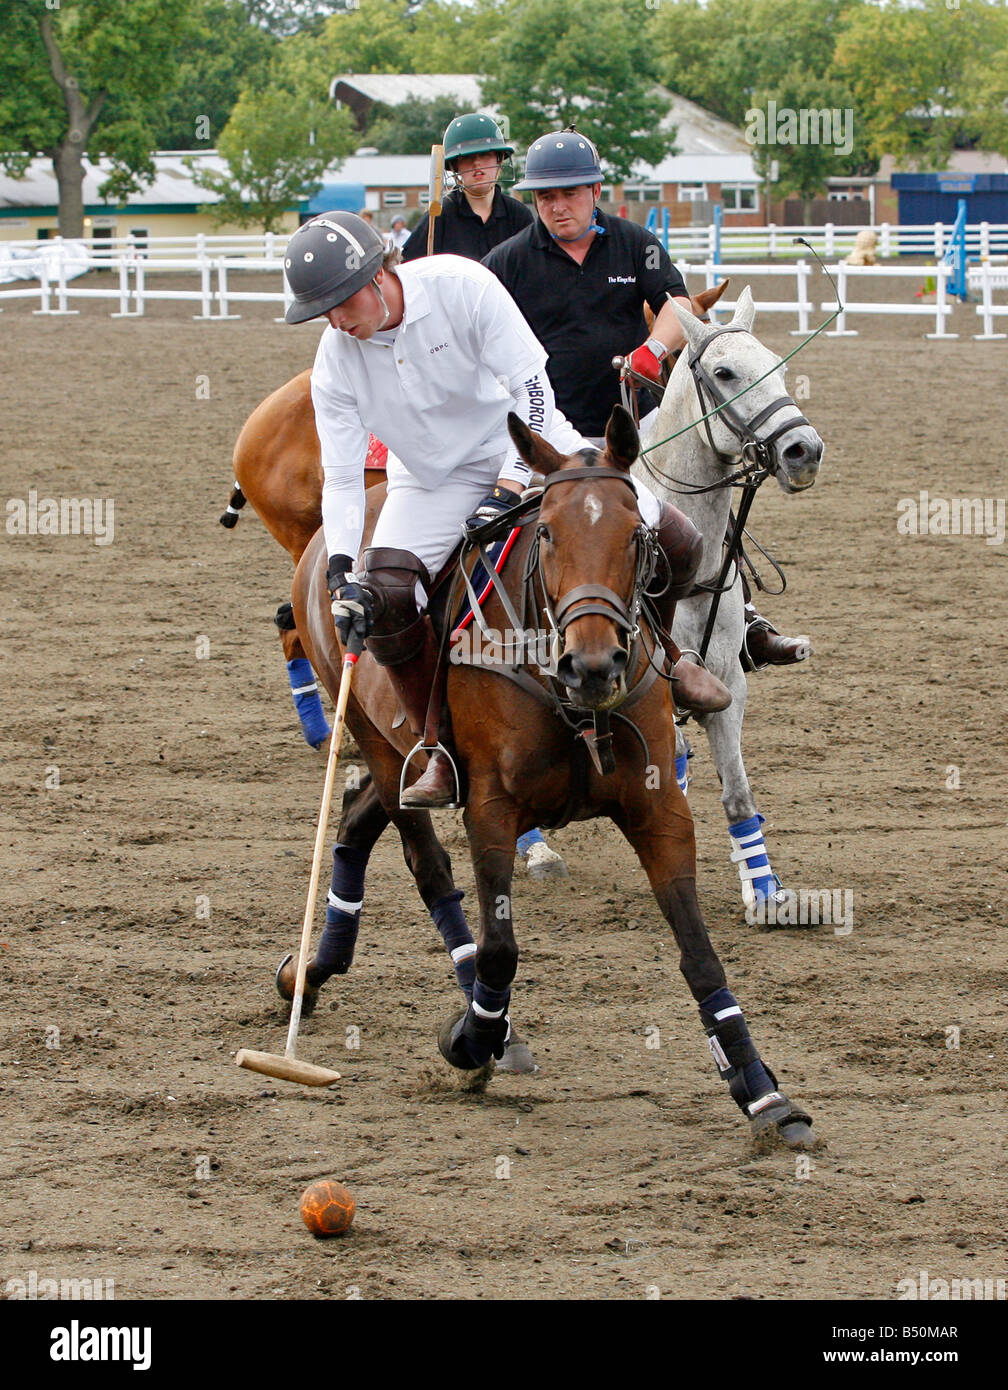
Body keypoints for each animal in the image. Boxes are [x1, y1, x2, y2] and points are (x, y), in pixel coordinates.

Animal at [286, 405, 811, 1145]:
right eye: (549, 535)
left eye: (638, 537)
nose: (593, 667)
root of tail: (323, 548)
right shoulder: (492, 809)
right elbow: (501, 948)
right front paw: (473, 1040)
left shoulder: (658, 810)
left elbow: (698, 949)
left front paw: (761, 1088)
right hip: (377, 734)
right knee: (425, 860)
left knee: (359, 812)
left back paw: (308, 971)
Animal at [633, 290, 823, 922]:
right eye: (724, 373)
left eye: (779, 368)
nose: (803, 449)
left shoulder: (726, 688)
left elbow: (738, 795)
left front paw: (767, 893)